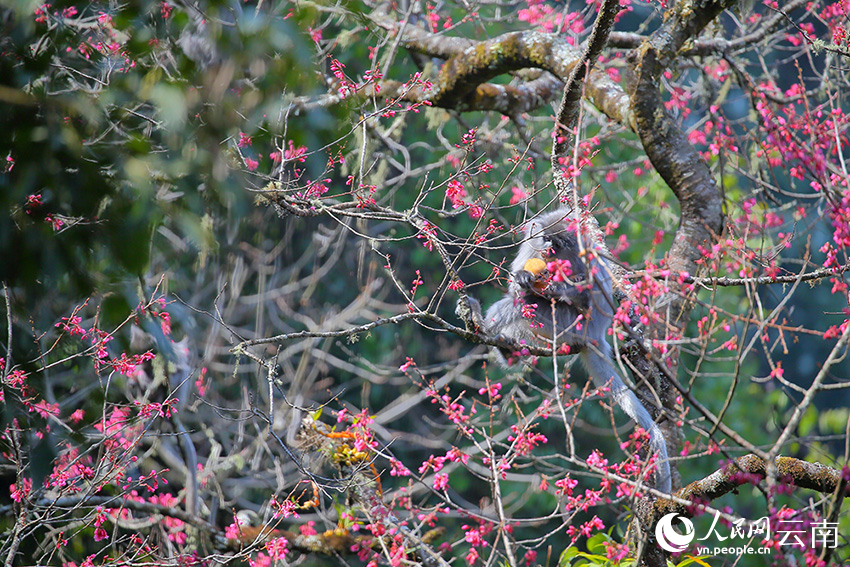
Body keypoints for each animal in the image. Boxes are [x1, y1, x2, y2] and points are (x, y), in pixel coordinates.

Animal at [464, 209, 672, 494]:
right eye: (546, 239)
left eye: (558, 243)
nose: (547, 249)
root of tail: (594, 337)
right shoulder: (531, 247)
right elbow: (516, 284)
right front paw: (524, 280)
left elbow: (589, 296)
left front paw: (557, 287)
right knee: (520, 301)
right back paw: (505, 349)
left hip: (568, 326)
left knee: (525, 303)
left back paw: (482, 326)